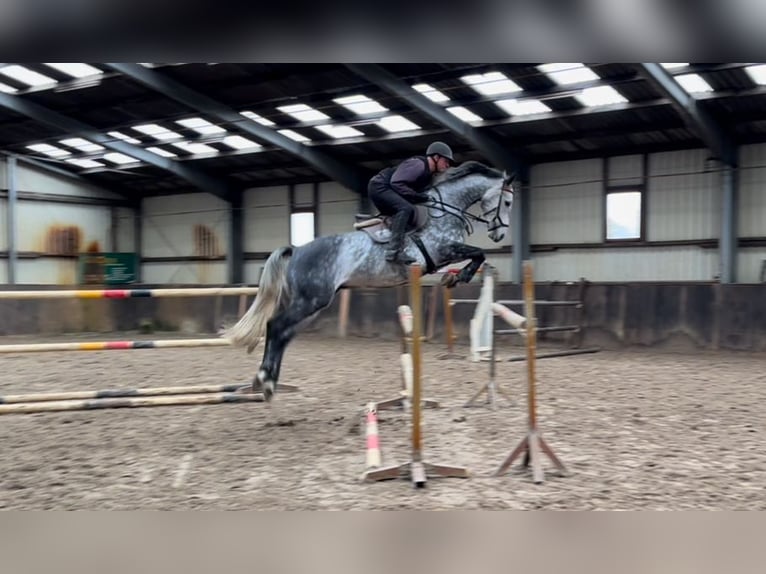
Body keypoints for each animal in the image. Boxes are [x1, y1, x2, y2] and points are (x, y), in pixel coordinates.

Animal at [222, 160, 515, 401]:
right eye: (508, 203)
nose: (499, 234)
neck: (444, 210)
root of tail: (297, 250)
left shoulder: (441, 257)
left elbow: (476, 255)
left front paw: (454, 278)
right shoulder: (442, 250)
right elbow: (478, 253)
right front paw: (460, 276)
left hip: (309, 304)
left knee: (282, 333)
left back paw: (267, 383)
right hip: (311, 301)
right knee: (276, 326)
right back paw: (265, 381)